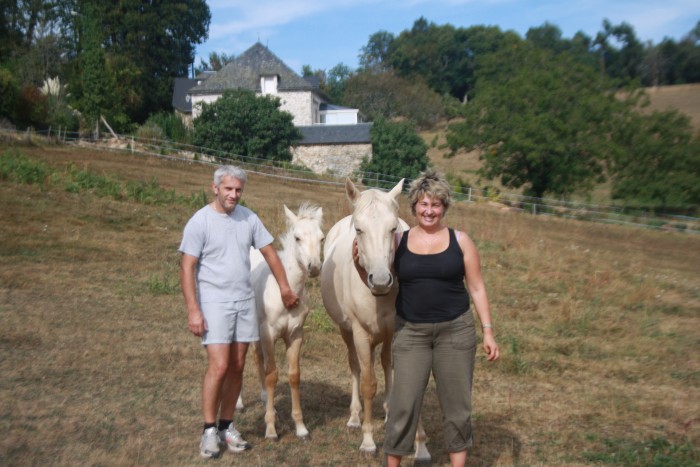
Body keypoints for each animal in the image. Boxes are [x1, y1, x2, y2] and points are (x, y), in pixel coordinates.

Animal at [247, 203, 324, 440]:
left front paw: (301, 428)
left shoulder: (295, 334)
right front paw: (271, 429)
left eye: (322, 238)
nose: (314, 267)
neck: (285, 292)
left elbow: (294, 376)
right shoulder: (269, 334)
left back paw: (264, 398)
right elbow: (272, 375)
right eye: (297, 238)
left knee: (256, 357)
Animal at [320, 179, 430, 460]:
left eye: (393, 228)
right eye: (359, 229)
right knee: (356, 366)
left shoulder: (400, 332)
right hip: (347, 332)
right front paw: (368, 441)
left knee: (386, 363)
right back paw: (354, 417)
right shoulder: (360, 333)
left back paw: (390, 411)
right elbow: (368, 383)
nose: (380, 281)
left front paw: (419, 444)